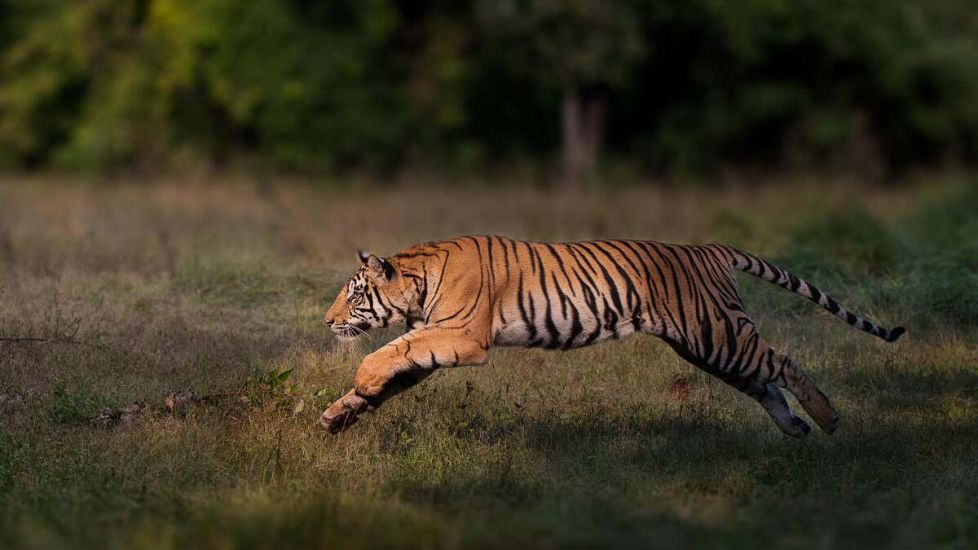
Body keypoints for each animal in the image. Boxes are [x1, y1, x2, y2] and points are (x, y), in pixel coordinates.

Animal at [318, 236, 900, 440]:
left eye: (354, 295)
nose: (325, 321)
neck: (418, 282)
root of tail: (709, 248)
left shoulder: (462, 337)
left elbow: (391, 352)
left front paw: (361, 380)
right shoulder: (436, 341)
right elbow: (394, 368)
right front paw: (340, 413)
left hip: (717, 335)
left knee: (785, 362)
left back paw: (827, 418)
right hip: (710, 347)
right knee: (764, 382)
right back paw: (795, 428)